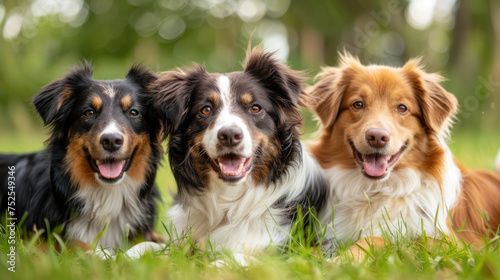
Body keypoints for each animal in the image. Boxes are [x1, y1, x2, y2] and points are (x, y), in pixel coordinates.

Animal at [304, 53, 500, 260]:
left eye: (402, 108)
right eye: (358, 104)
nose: (377, 137)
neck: (375, 190)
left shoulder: (455, 246)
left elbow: (383, 239)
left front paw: (345, 258)